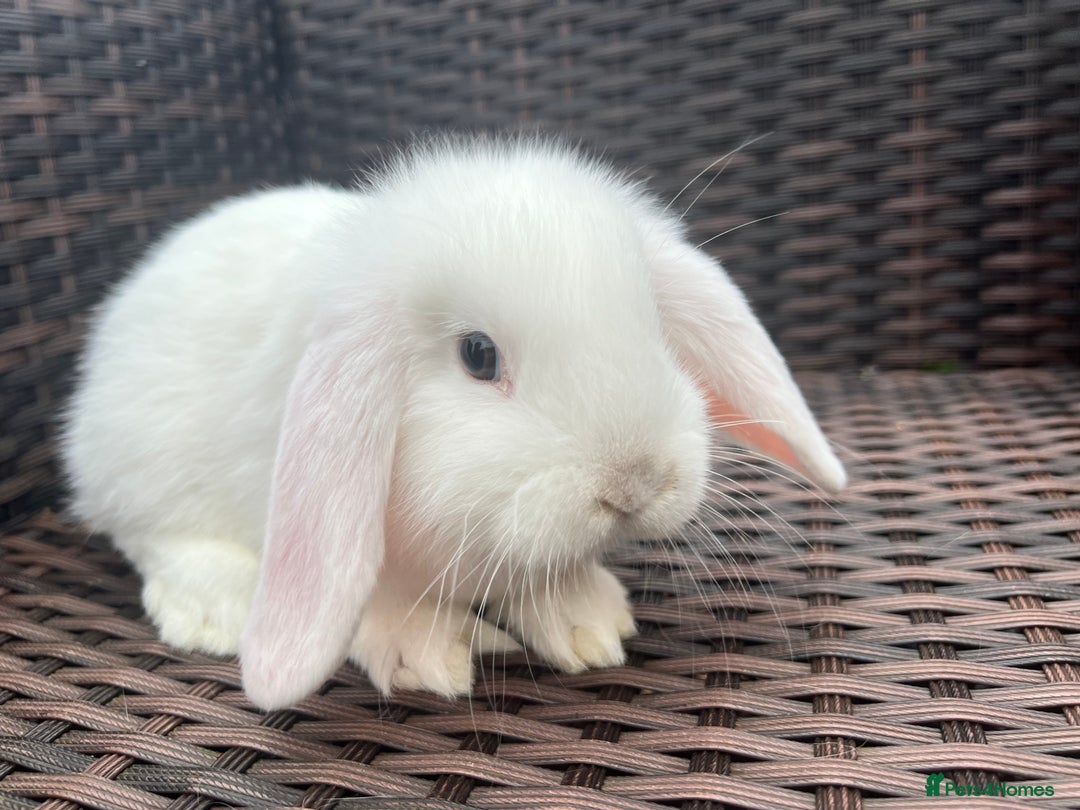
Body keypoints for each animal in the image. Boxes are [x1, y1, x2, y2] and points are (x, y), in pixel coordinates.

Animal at [61, 135, 846, 711]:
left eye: (653, 326)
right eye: (477, 355)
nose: (635, 482)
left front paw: (589, 623)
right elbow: (371, 591)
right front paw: (427, 654)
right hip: (138, 465)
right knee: (149, 535)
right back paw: (216, 611)